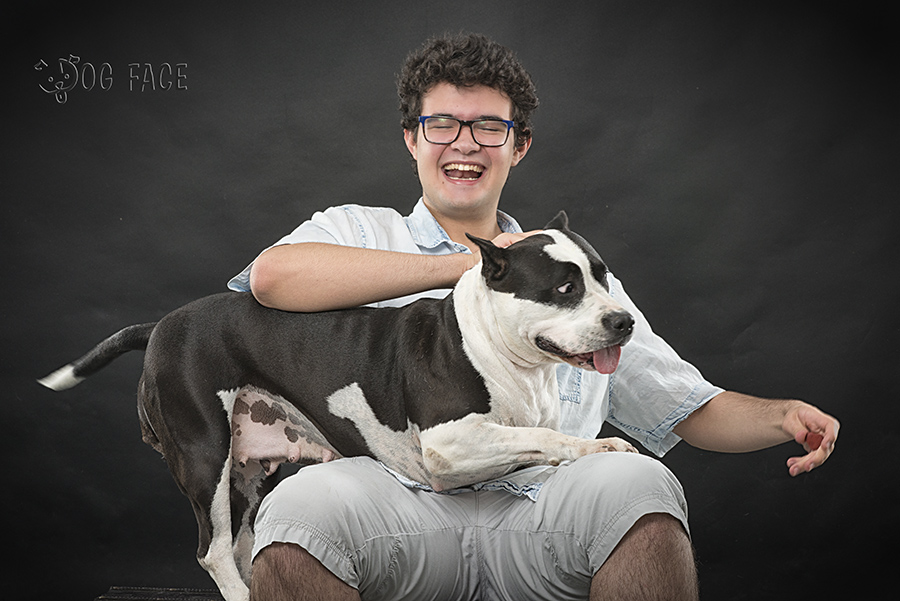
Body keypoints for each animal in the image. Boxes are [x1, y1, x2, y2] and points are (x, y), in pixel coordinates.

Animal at [39, 211, 637, 601]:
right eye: (564, 287)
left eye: (603, 274)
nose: (624, 320)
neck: (500, 348)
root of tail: (162, 323)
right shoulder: (448, 444)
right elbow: (550, 438)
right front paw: (602, 446)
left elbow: (537, 438)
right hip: (205, 455)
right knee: (215, 549)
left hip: (247, 474)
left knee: (241, 543)